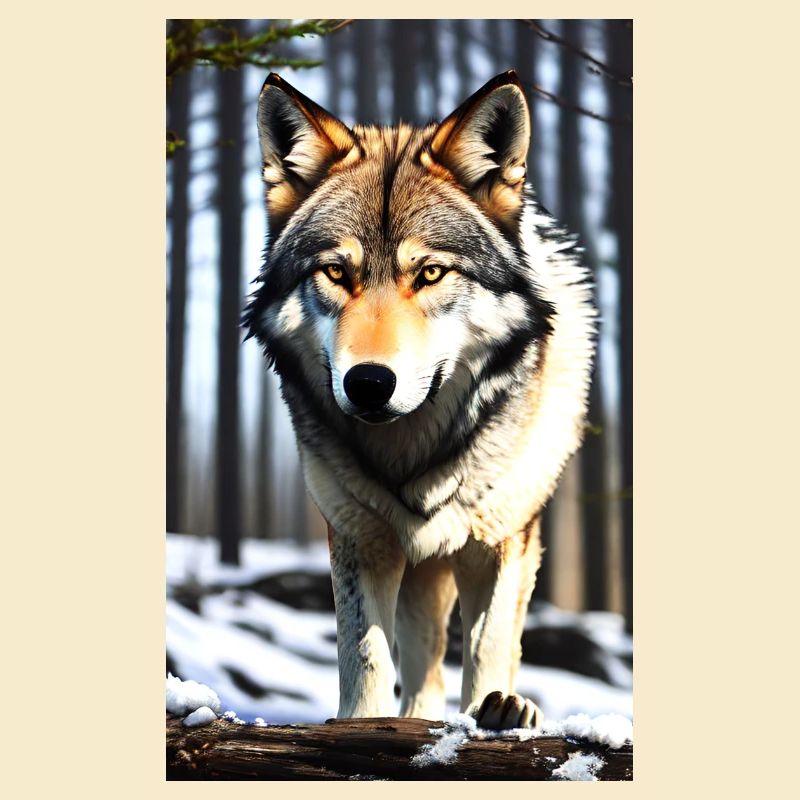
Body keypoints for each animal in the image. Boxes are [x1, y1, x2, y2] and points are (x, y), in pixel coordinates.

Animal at [244, 70, 596, 730]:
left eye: (430, 273)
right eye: (336, 273)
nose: (368, 382)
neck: (412, 453)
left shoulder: (502, 538)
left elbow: (488, 644)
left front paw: (494, 711)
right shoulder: (359, 538)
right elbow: (364, 657)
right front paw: (362, 726)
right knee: (424, 670)